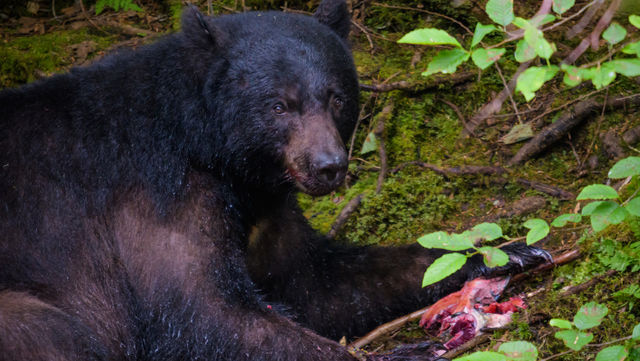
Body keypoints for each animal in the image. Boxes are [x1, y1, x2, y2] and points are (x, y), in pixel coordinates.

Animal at [0, 1, 552, 358]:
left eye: (336, 96)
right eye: (279, 105)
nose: (329, 166)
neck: (210, 150)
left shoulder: (265, 201)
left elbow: (317, 279)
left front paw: (506, 250)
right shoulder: (154, 195)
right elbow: (202, 311)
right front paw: (401, 352)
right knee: (53, 331)